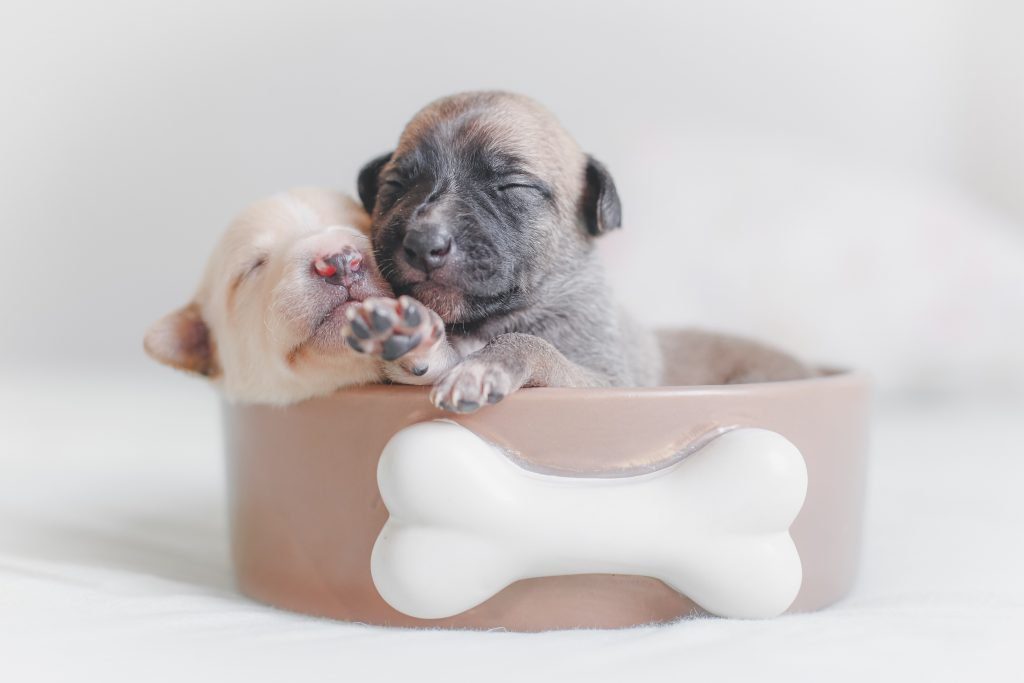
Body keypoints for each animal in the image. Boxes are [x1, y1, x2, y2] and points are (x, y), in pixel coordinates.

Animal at [348, 90, 811, 411]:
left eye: (513, 187)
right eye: (395, 187)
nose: (423, 243)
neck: (487, 323)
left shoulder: (608, 384)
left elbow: (535, 346)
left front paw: (488, 364)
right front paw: (410, 337)